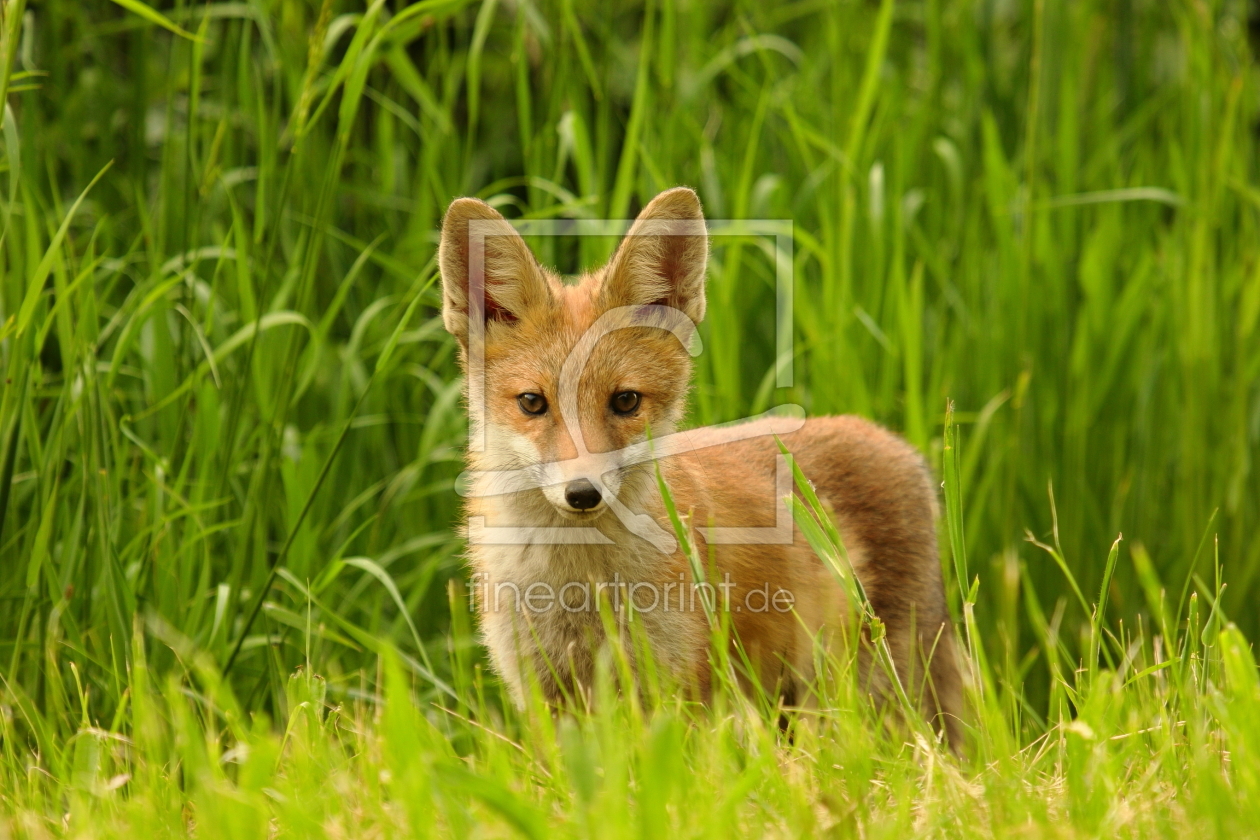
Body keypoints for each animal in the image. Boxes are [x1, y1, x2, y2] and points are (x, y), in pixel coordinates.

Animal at [441, 187, 962, 750]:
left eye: (625, 401)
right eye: (533, 403)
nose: (583, 493)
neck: (580, 586)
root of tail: (895, 441)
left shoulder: (674, 690)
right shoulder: (545, 695)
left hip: (877, 692)